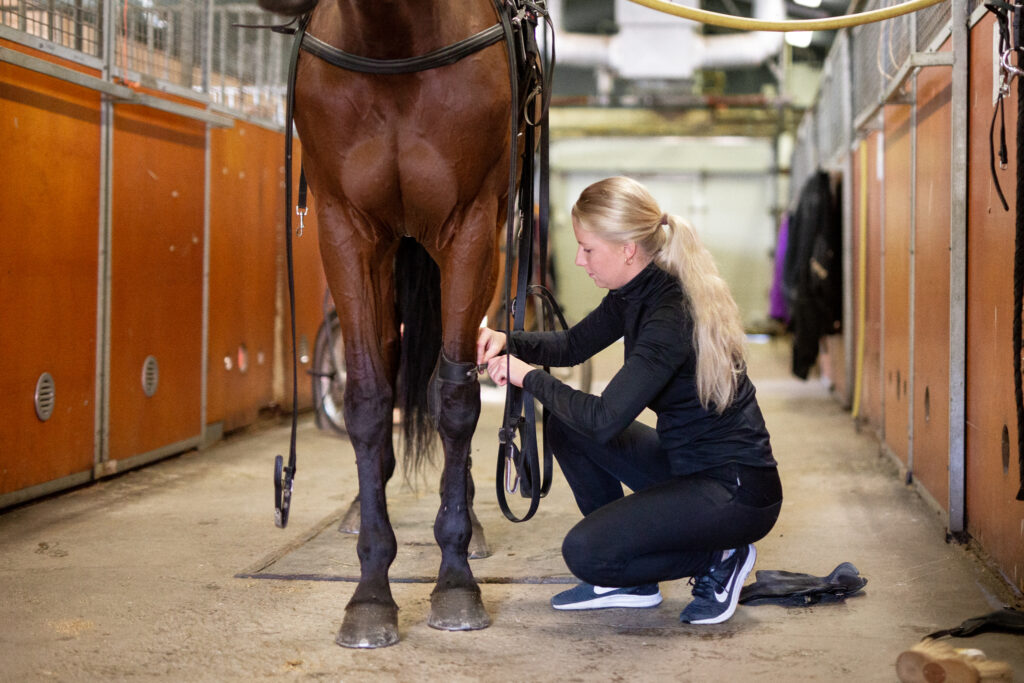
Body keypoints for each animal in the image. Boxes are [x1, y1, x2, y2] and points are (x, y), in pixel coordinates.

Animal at [256, 0, 532, 651]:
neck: (394, 40)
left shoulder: (470, 228)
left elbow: (455, 399)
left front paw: (455, 581)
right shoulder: (346, 229)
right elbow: (367, 400)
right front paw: (370, 594)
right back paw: (364, 501)